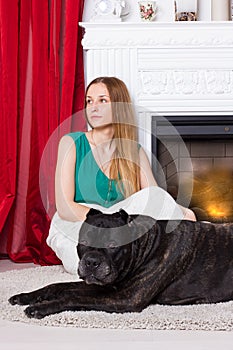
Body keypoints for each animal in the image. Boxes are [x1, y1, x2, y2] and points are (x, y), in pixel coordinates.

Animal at [8, 209, 233, 318]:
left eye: (112, 244)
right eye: (84, 241)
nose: (91, 261)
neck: (146, 243)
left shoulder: (126, 298)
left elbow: (72, 297)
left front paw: (41, 306)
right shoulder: (108, 287)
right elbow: (57, 286)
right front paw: (26, 296)